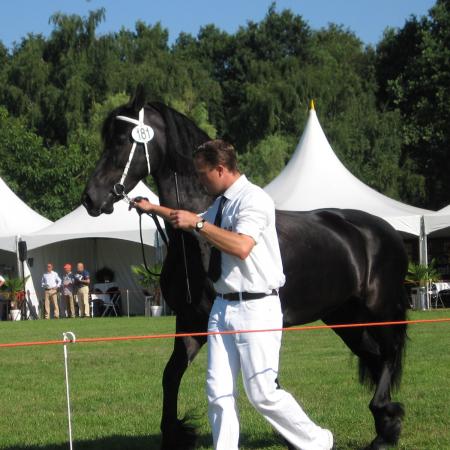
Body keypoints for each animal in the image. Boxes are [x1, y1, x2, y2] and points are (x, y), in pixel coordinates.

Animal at [82, 90, 410, 450]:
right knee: (375, 357)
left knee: (389, 353)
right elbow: (171, 375)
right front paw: (175, 433)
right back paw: (384, 425)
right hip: (344, 317)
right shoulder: (191, 322)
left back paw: (385, 426)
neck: (198, 238)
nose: (91, 198)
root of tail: (386, 231)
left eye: (123, 139)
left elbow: (269, 384)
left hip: (377, 310)